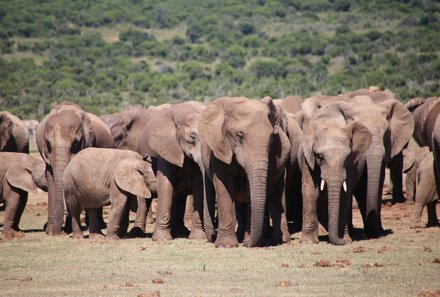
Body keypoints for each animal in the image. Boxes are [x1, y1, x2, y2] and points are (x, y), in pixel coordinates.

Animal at [139, 100, 208, 239]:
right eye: (192, 137)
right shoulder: (165, 147)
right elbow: (165, 184)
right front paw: (161, 239)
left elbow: (198, 184)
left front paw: (198, 237)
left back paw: (180, 232)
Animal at [198, 96, 294, 246]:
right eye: (240, 136)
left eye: (271, 138)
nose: (248, 244)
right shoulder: (219, 149)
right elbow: (224, 186)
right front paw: (227, 245)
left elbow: (250, 190)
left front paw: (249, 242)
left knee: (276, 197)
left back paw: (279, 240)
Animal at [300, 102, 372, 245]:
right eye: (320, 157)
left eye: (346, 157)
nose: (342, 241)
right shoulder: (307, 158)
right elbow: (311, 191)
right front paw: (308, 241)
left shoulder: (351, 164)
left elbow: (345, 193)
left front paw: (344, 239)